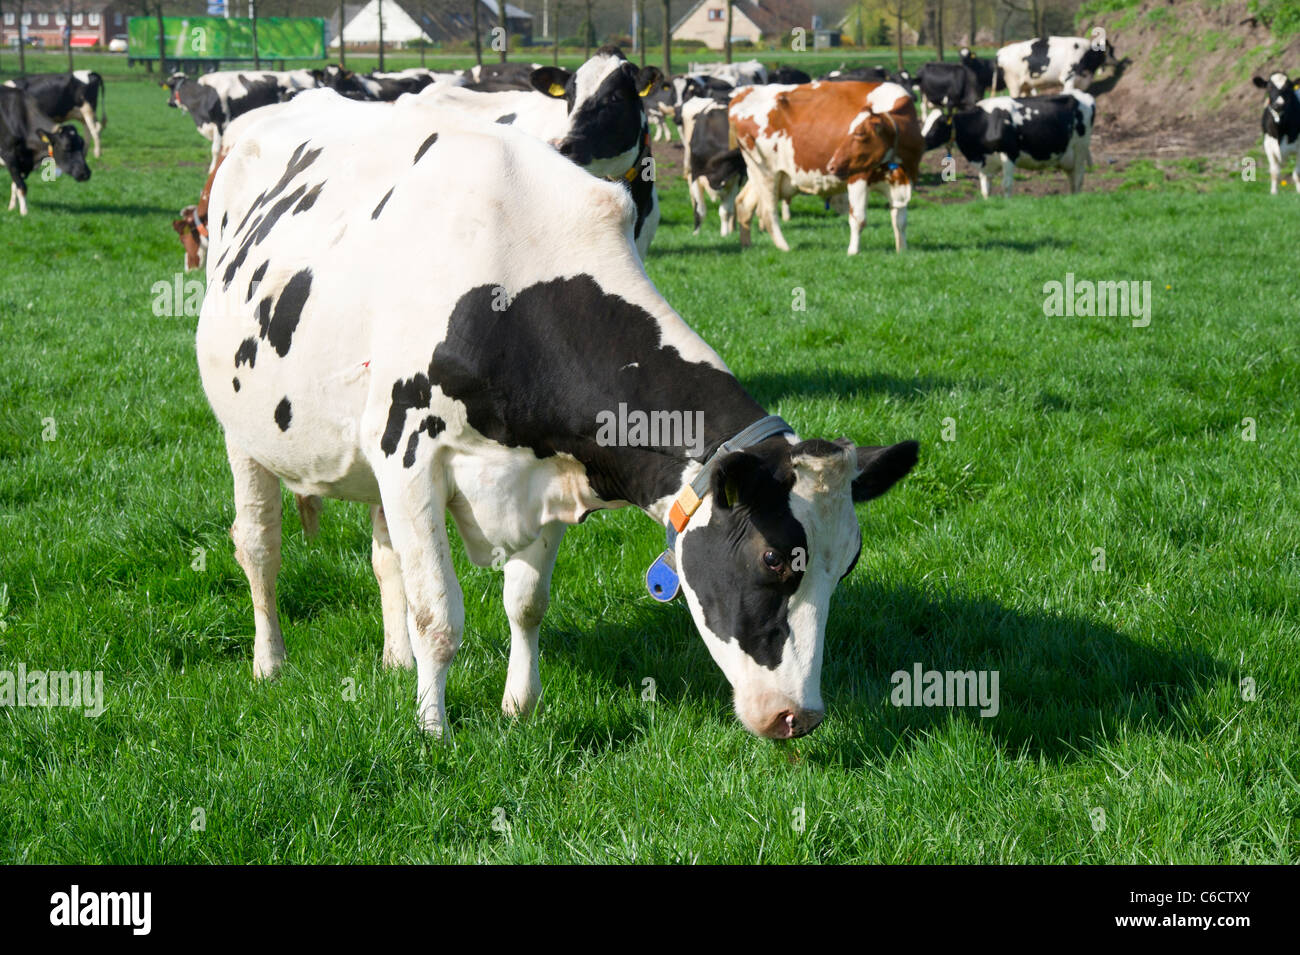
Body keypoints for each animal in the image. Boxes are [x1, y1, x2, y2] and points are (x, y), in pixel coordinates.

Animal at [0, 86, 91, 216]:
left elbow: (15, 185)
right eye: (66, 147)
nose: (85, 173)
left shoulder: (24, 163)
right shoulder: (9, 155)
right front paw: (24, 212)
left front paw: (11, 208)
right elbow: (21, 186)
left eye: (82, 144)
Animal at [681, 97, 747, 235]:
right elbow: (699, 210)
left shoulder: (734, 180)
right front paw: (696, 234)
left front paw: (725, 235)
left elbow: (725, 211)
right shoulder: (696, 175)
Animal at [730, 81, 924, 254]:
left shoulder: (903, 181)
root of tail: (743, 92)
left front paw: (902, 251)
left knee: (744, 204)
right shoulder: (858, 177)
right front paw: (853, 252)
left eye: (860, 133)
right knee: (768, 212)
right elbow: (858, 219)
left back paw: (747, 246)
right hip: (766, 172)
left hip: (760, 174)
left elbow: (900, 221)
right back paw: (785, 248)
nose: (832, 165)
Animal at [921, 91, 1095, 198]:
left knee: (1079, 178)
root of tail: (1084, 95)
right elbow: (985, 190)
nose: (920, 142)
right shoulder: (985, 163)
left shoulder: (1009, 153)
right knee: (1072, 180)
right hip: (1068, 156)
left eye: (936, 126)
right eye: (925, 123)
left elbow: (1006, 185)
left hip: (1080, 148)